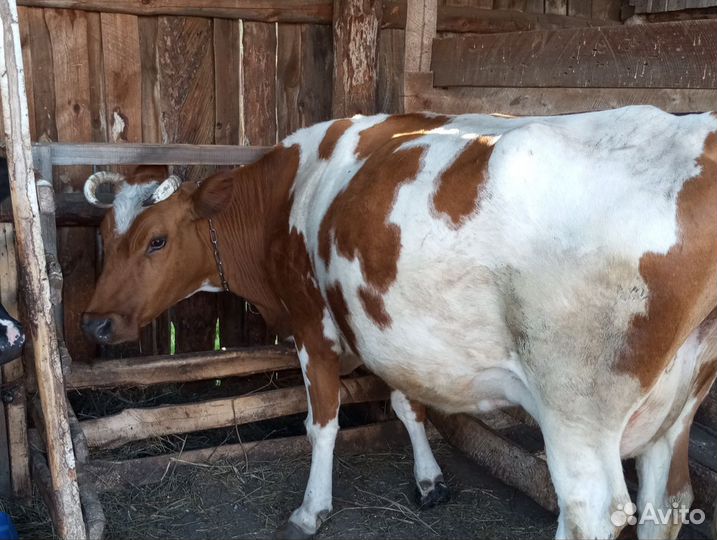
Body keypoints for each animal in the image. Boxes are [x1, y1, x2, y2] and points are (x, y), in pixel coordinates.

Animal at [81, 105, 716, 540]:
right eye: (105, 236)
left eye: (157, 240)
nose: (94, 324)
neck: (287, 197)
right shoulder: (393, 333)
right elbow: (408, 405)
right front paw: (430, 480)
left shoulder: (312, 326)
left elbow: (323, 424)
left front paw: (311, 510)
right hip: (679, 401)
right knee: (668, 500)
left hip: (575, 408)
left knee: (592, 512)